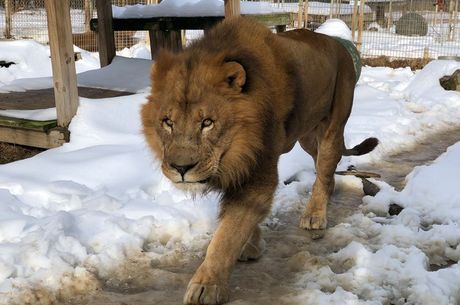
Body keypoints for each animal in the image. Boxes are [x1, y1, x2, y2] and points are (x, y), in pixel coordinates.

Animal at [140, 17, 378, 304]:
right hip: (307, 137)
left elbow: (226, 236)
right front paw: (251, 246)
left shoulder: (259, 171)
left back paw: (314, 215)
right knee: (325, 170)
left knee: (323, 171)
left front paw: (206, 286)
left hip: (332, 127)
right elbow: (239, 224)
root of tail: (339, 43)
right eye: (168, 122)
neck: (235, 150)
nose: (181, 168)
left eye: (207, 123)